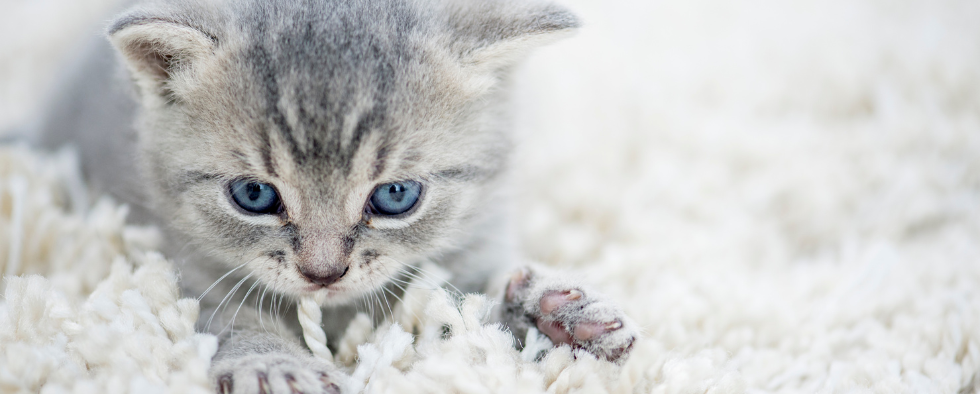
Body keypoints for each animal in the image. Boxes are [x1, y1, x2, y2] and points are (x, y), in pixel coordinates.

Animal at [36, 0, 636, 390]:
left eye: (396, 195)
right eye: (254, 194)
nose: (323, 272)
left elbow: (465, 308)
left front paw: (552, 313)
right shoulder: (177, 261)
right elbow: (225, 316)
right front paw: (271, 362)